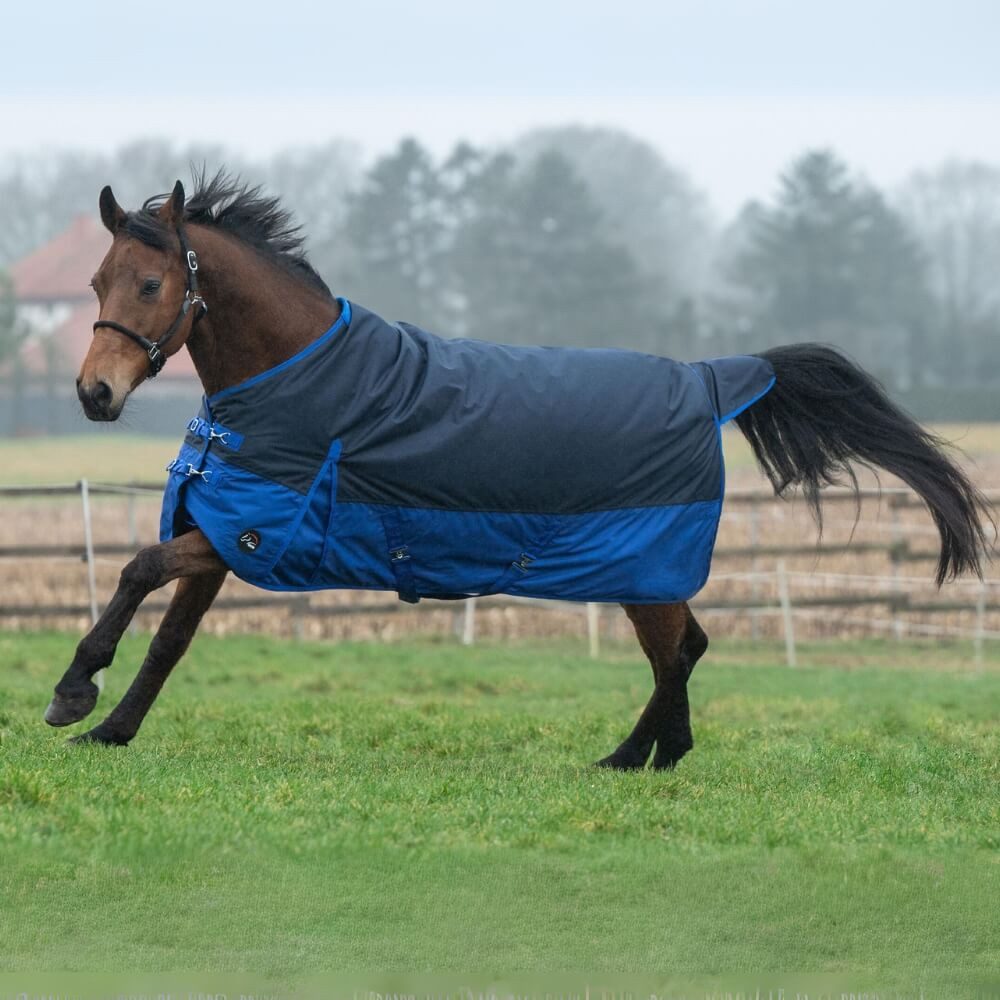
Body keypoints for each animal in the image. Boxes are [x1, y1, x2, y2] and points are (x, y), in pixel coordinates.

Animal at [45, 171, 992, 770]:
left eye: (152, 282)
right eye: (94, 281)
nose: (94, 393)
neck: (298, 381)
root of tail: (707, 378)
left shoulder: (254, 534)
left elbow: (135, 572)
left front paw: (72, 691)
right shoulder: (224, 532)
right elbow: (169, 638)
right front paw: (109, 729)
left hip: (641, 562)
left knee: (678, 650)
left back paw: (633, 757)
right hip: (640, 569)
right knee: (684, 648)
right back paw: (653, 754)